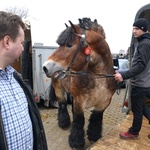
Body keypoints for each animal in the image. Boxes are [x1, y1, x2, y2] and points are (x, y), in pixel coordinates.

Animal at [42, 18, 116, 149]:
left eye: (69, 45)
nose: (45, 67)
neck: (99, 78)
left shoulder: (104, 102)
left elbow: (96, 119)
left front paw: (94, 136)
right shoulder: (80, 100)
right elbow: (79, 120)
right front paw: (76, 142)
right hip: (59, 89)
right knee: (62, 104)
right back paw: (64, 123)